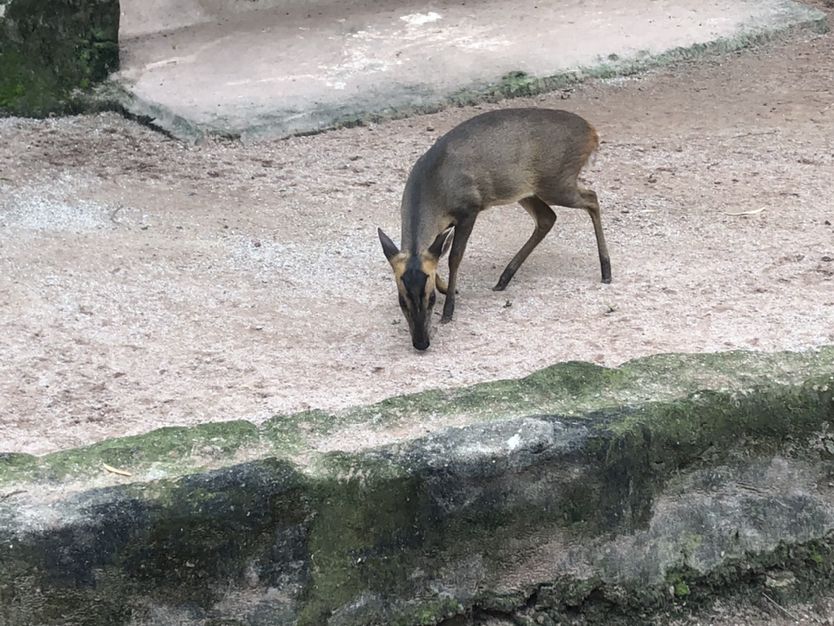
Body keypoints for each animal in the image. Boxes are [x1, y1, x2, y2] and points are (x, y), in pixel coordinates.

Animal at [378, 108, 612, 352]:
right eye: (401, 300)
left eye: (430, 298)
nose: (421, 342)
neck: (433, 190)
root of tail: (592, 133)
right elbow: (439, 254)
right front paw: (447, 289)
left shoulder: (469, 209)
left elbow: (454, 257)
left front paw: (448, 310)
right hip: (526, 189)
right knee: (548, 218)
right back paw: (504, 278)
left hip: (556, 181)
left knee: (592, 198)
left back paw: (606, 271)